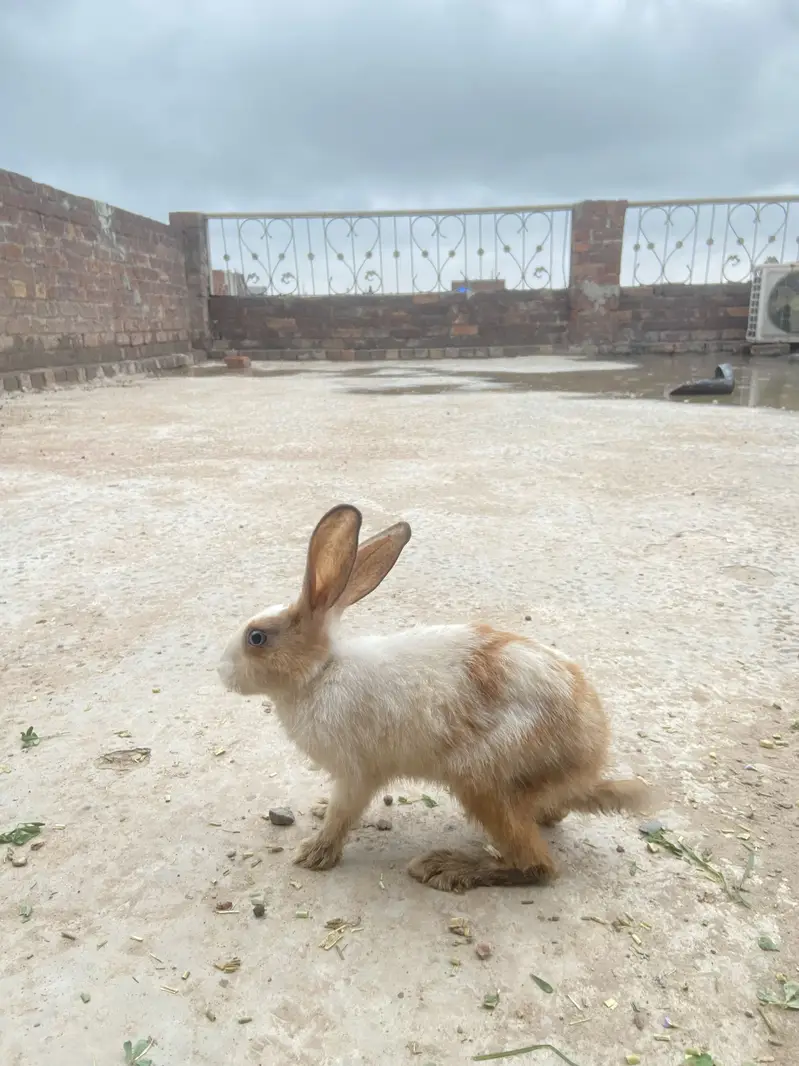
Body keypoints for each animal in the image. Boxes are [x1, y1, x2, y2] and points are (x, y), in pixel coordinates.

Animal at [218, 504, 649, 893]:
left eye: (256, 637)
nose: (222, 672)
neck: (319, 673)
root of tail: (590, 757)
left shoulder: (358, 772)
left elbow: (343, 815)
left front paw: (314, 853)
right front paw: (319, 810)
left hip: (482, 783)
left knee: (537, 866)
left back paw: (445, 868)